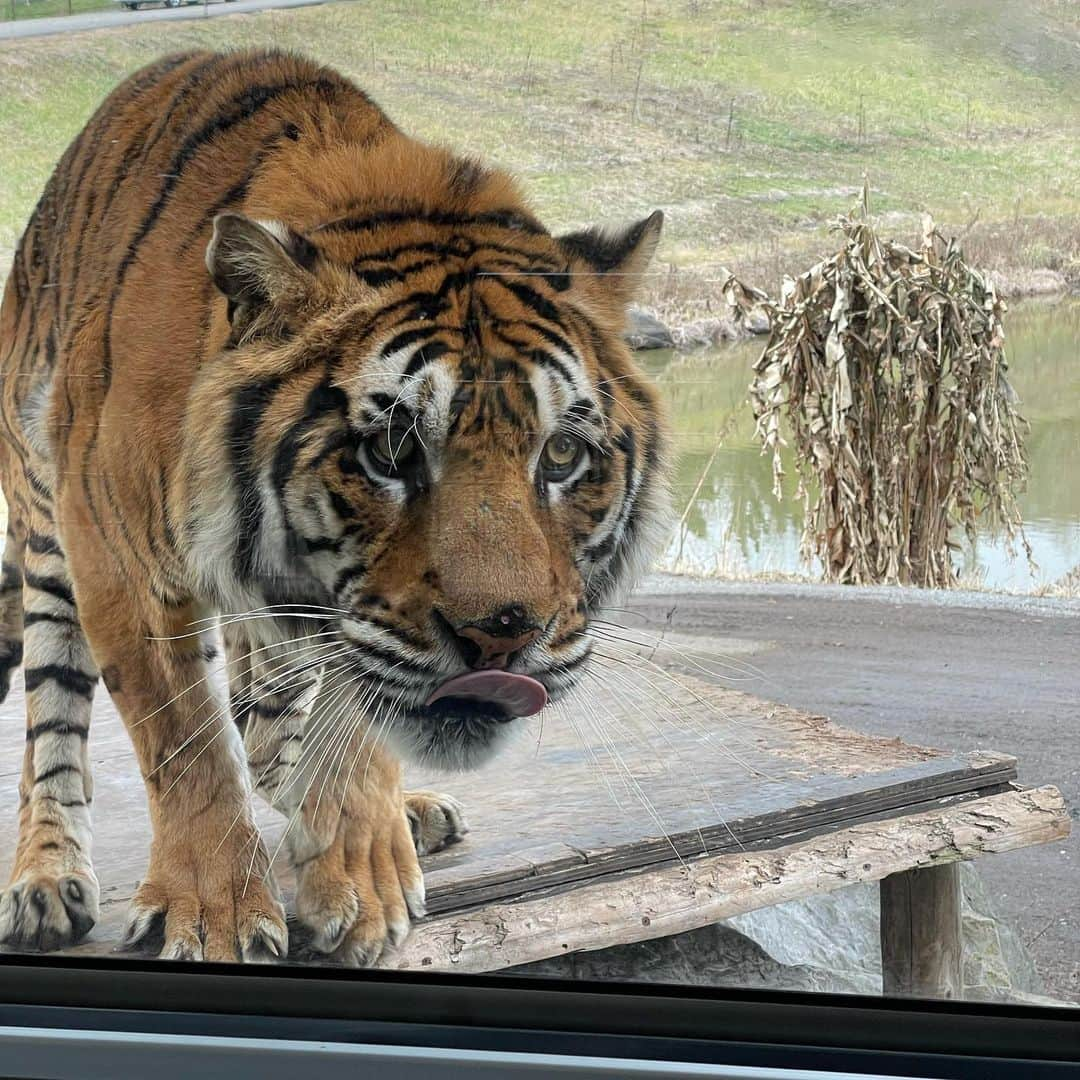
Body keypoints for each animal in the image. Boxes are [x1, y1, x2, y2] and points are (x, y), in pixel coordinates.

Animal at [0, 46, 665, 967]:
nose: (505, 636)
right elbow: (187, 743)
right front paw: (213, 918)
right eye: (391, 450)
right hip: (46, 529)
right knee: (53, 719)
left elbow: (353, 716)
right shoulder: (121, 564)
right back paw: (46, 876)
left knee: (267, 711)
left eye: (561, 455)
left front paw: (359, 868)